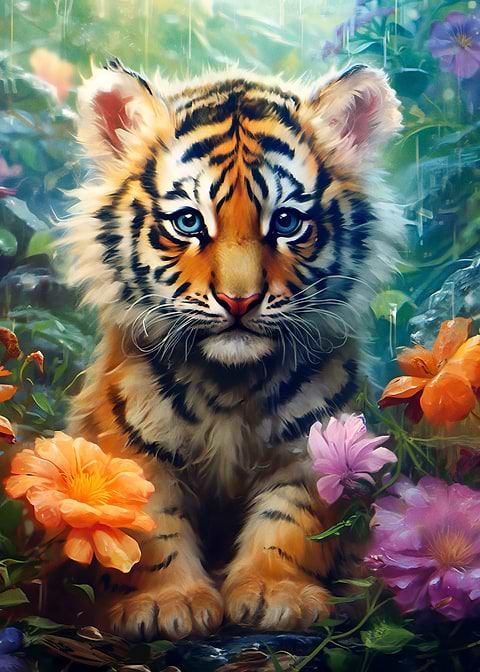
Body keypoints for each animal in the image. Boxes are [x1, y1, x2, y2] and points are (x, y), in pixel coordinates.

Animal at [63, 58, 404, 641]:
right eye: (189, 222)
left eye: (286, 222)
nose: (239, 300)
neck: (229, 380)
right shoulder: (134, 446)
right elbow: (150, 529)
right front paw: (168, 605)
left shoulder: (312, 447)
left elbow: (290, 520)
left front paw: (276, 594)